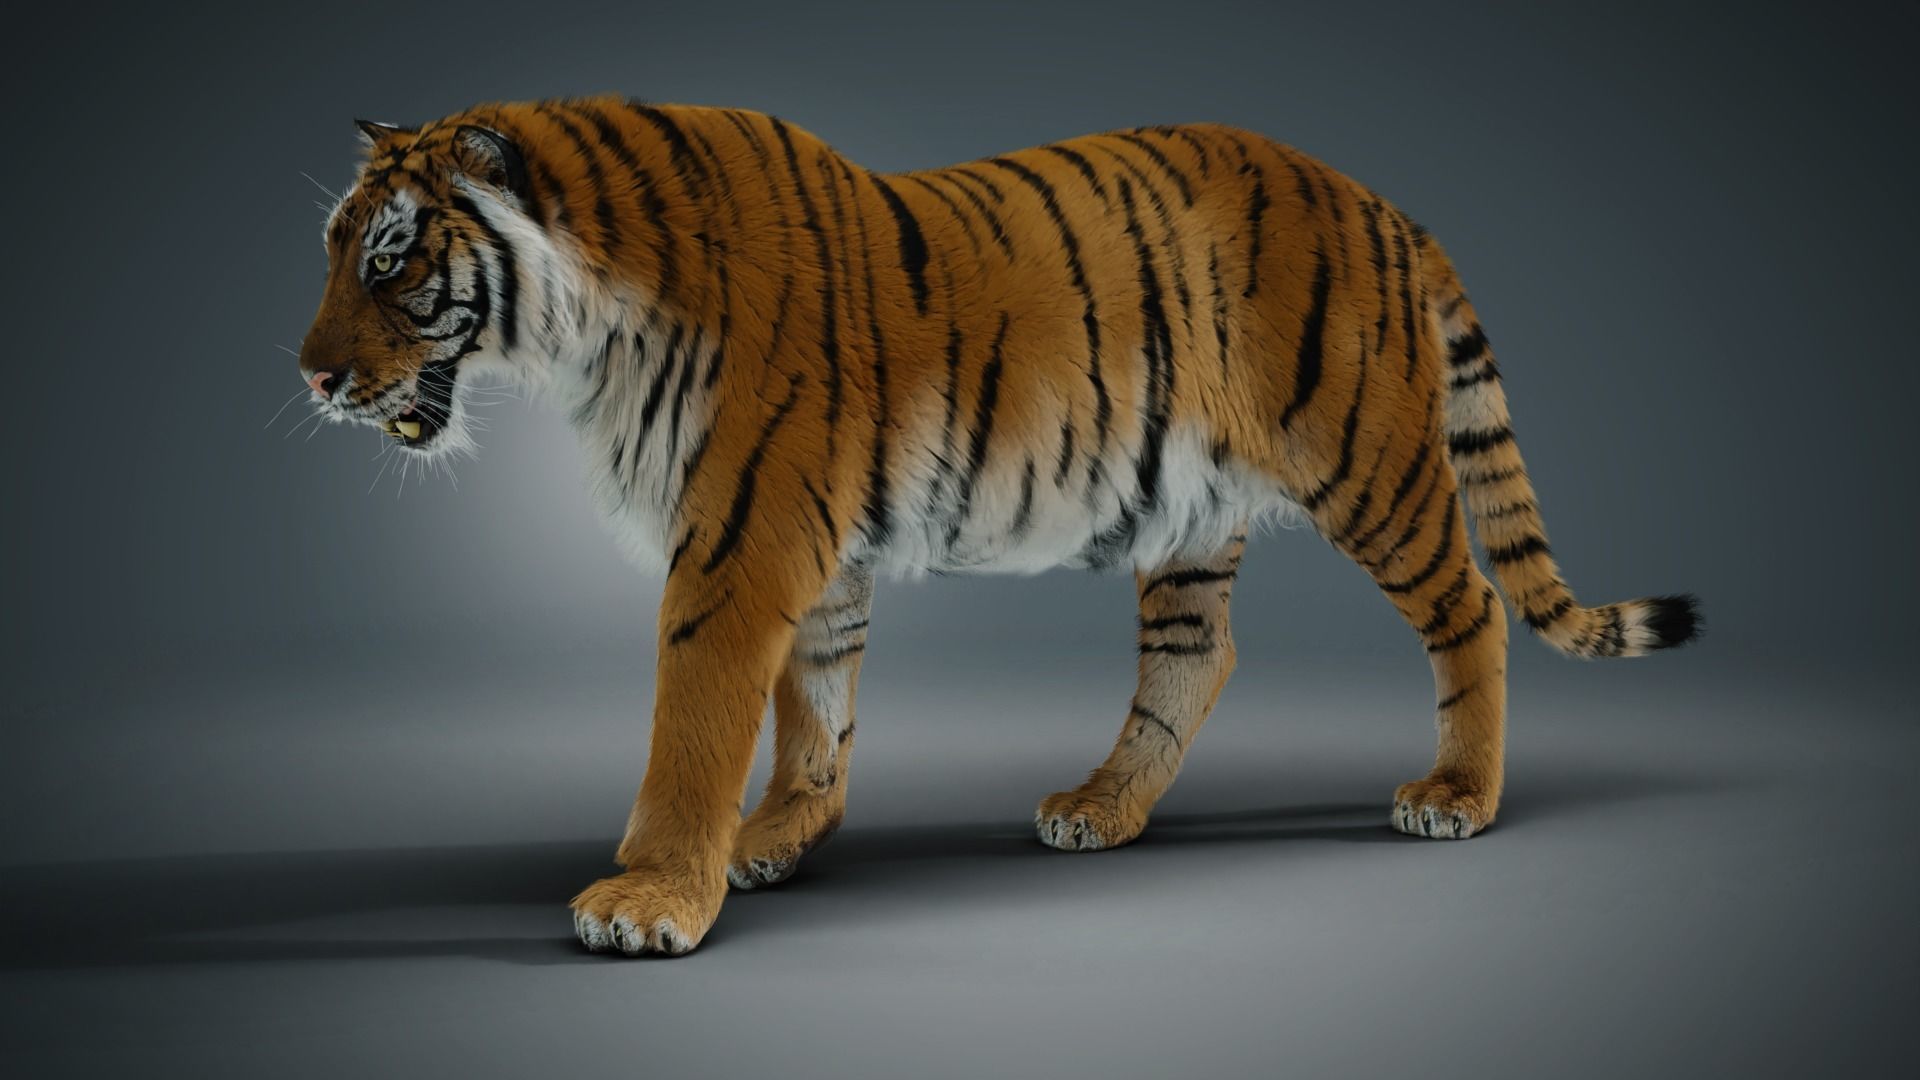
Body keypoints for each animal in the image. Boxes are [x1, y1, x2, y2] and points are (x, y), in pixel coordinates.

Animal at [296, 95, 1699, 956]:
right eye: (332, 251)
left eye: (390, 262)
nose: (308, 375)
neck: (587, 331)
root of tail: (1381, 205)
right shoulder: (809, 551)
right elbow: (816, 704)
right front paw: (778, 836)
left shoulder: (736, 544)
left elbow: (693, 725)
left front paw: (651, 899)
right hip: (1190, 515)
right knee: (1197, 657)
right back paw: (1101, 809)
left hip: (1372, 463)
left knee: (1472, 608)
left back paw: (1458, 796)